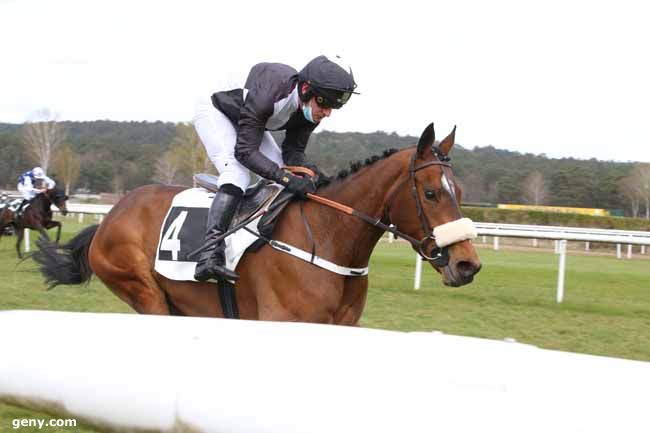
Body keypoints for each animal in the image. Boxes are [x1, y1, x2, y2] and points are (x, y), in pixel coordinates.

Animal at [34, 123, 480, 322]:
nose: (467, 263)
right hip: (143, 292)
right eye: (431, 193)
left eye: (458, 189)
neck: (330, 239)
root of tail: (110, 218)